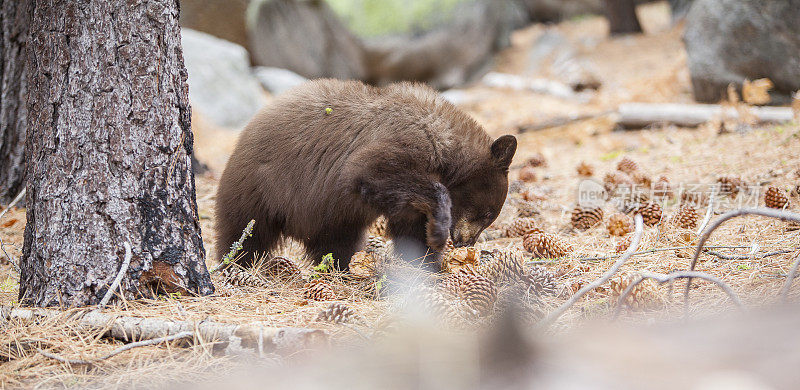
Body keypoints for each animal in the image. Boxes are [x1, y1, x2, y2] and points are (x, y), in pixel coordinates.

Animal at [216, 77, 516, 270]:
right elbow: (368, 170)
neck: (444, 141)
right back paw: (234, 263)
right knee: (244, 231)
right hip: (259, 187)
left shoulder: (407, 202)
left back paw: (341, 266)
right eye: (487, 214)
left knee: (337, 240)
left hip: (330, 216)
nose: (467, 242)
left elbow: (411, 227)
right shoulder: (406, 141)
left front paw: (426, 261)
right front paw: (439, 229)